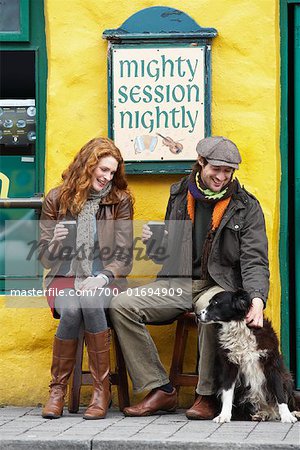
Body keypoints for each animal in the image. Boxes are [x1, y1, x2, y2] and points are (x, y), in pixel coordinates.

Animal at [198, 290, 298, 424]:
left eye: (215, 303)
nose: (197, 314)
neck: (239, 326)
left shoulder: (272, 364)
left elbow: (279, 392)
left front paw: (287, 416)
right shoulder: (229, 366)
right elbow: (227, 392)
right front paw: (224, 415)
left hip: (287, 378)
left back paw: (292, 413)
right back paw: (262, 414)